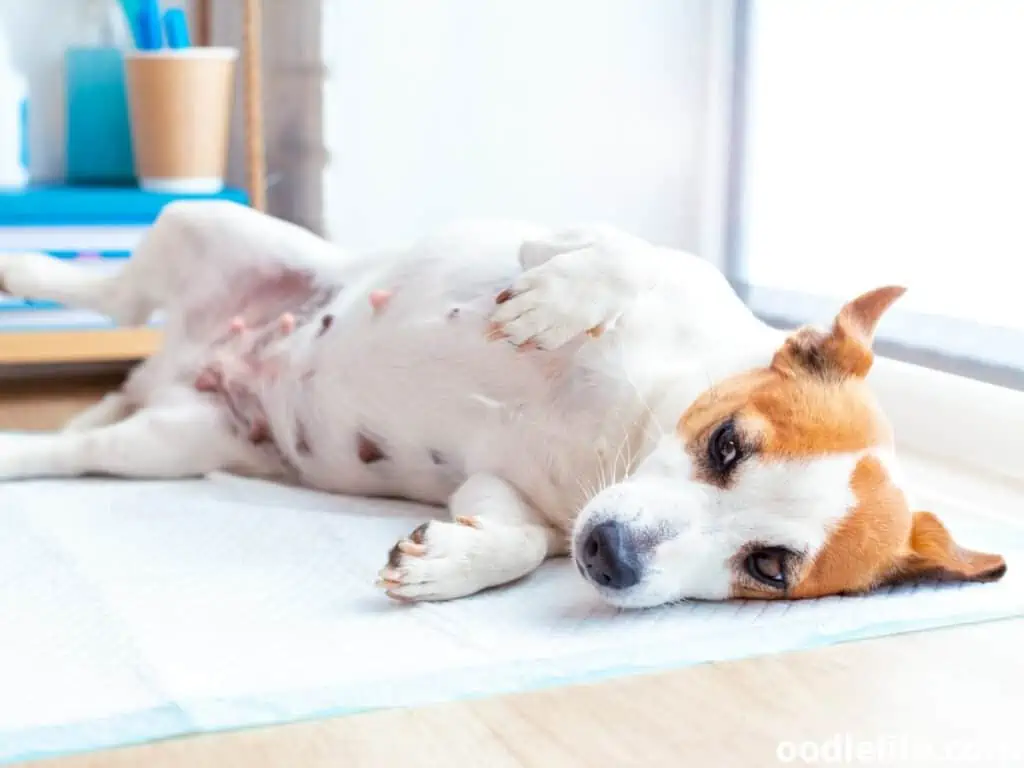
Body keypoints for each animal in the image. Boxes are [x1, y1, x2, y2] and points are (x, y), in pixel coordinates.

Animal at [0, 202, 1007, 606]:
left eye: (769, 568)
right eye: (727, 443)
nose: (609, 555)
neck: (625, 429)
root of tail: (181, 357)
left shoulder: (500, 494)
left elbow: (515, 543)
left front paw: (447, 565)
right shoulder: (585, 242)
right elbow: (618, 255)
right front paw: (559, 302)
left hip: (175, 440)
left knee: (79, 447)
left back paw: (23, 449)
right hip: (210, 224)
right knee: (115, 293)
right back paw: (28, 270)